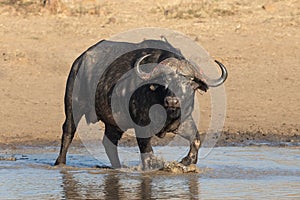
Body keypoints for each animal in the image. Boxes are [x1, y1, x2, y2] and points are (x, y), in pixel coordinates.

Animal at [54, 38, 227, 169]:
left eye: (188, 81)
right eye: (164, 80)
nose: (172, 100)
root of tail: (80, 60)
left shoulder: (182, 121)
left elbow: (196, 140)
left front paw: (186, 161)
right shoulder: (141, 125)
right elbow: (147, 151)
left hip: (114, 123)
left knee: (109, 143)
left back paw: (118, 167)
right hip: (73, 106)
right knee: (68, 131)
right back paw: (60, 163)